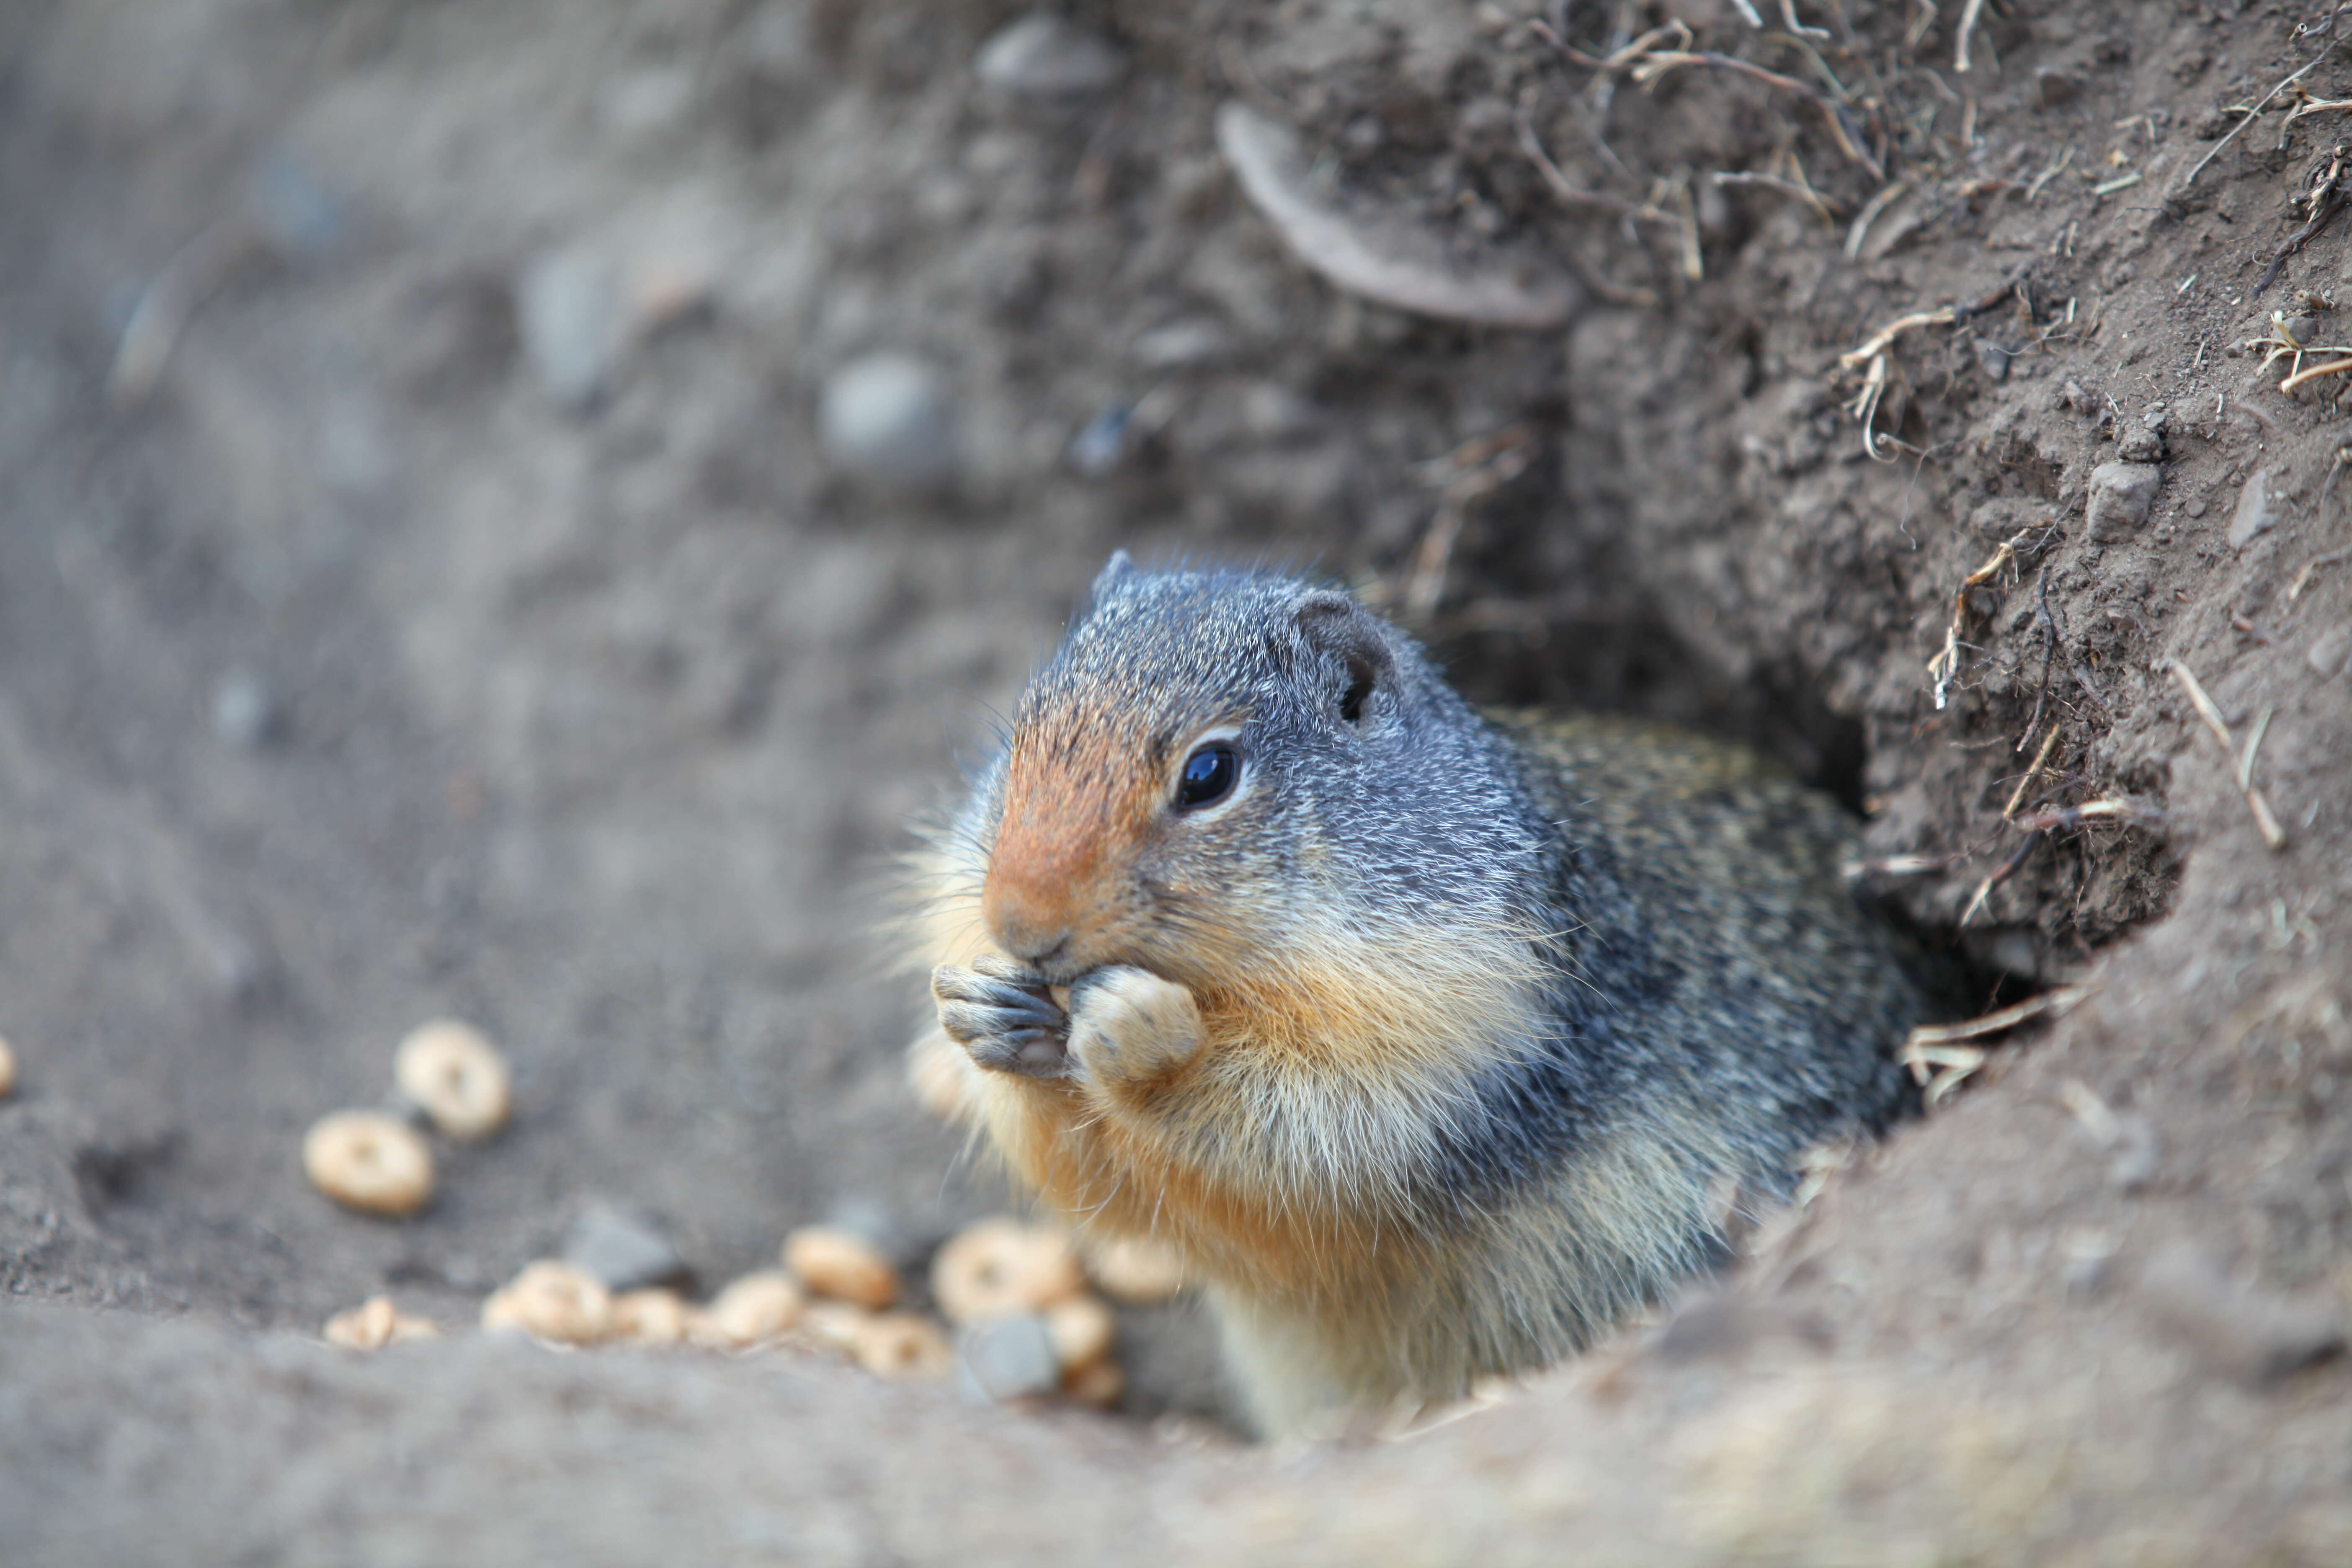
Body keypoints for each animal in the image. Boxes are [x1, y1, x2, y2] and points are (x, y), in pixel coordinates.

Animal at [903, 557, 1929, 1439]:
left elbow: (1310, 1144)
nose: (1018, 923)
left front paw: (1144, 1037)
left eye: (1209, 774)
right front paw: (987, 1013)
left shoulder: (1457, 1032)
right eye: (1021, 735)